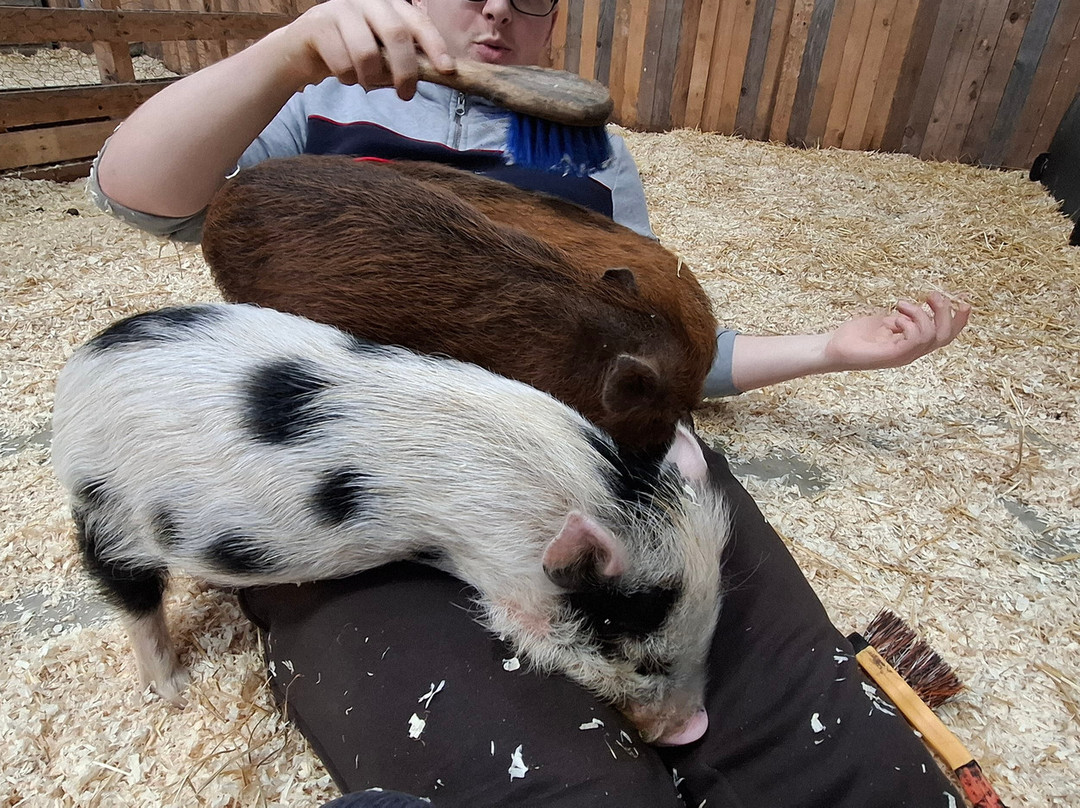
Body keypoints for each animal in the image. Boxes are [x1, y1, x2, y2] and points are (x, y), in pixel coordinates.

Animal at [51, 303, 730, 745]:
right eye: (637, 656)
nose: (695, 728)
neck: (590, 488)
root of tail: (76, 371)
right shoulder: (513, 580)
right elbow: (533, 638)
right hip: (107, 505)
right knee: (128, 591)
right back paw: (175, 690)